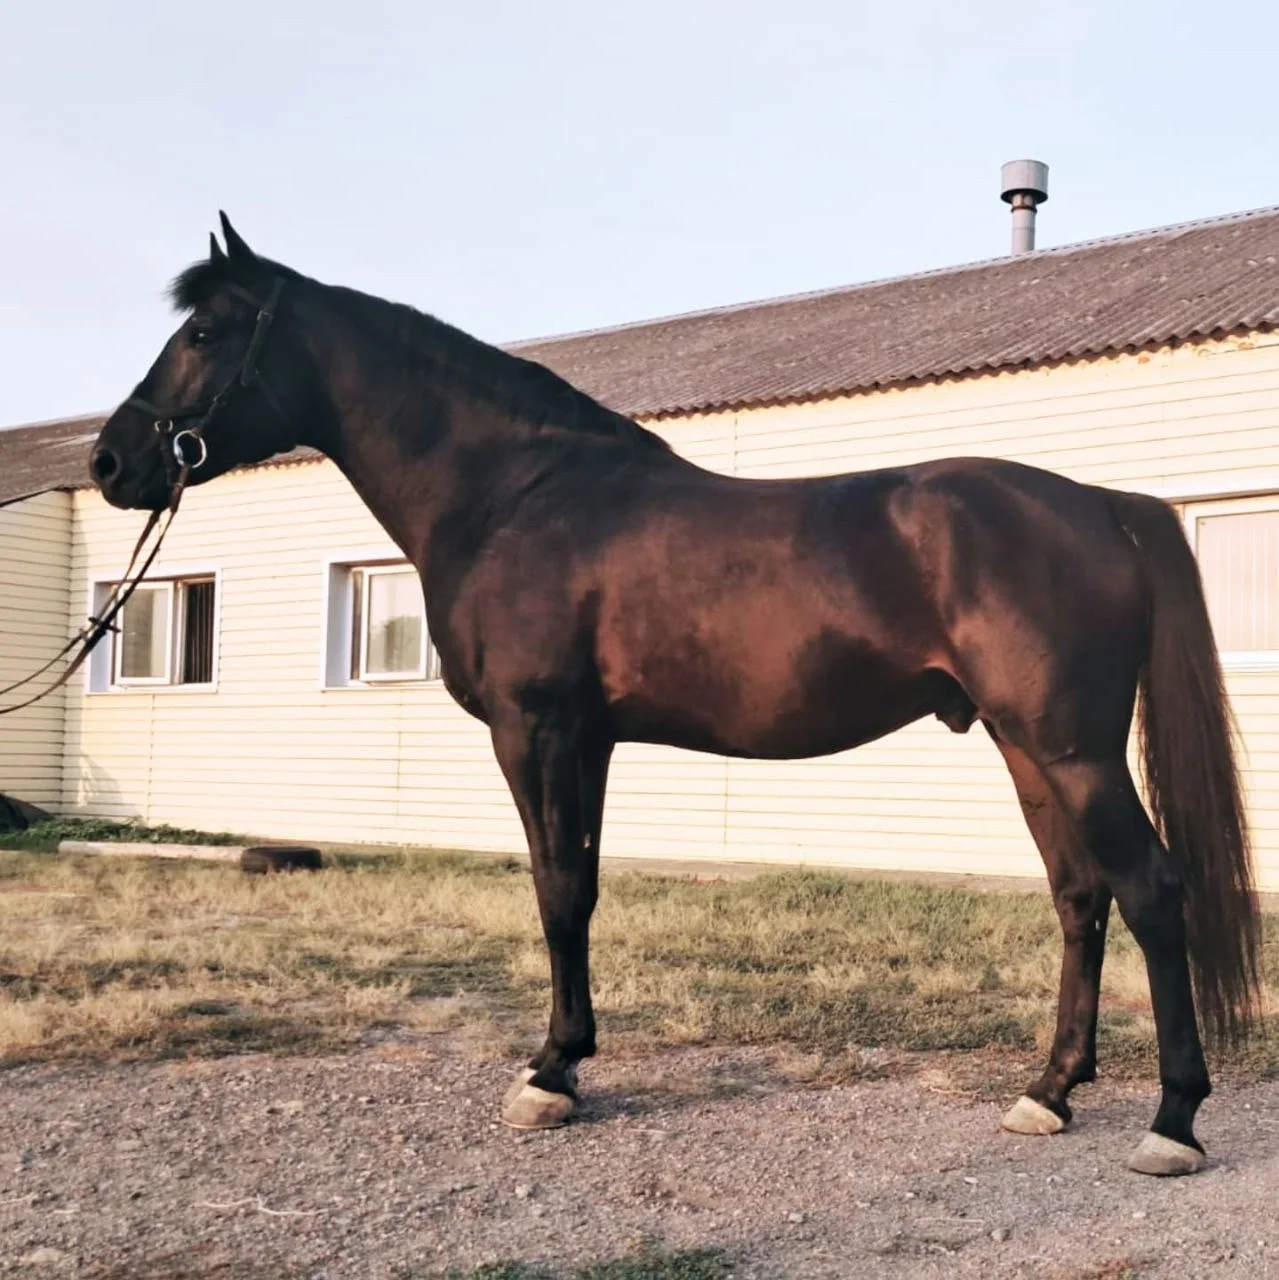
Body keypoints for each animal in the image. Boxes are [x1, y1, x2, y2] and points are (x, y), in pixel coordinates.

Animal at [89, 216, 1259, 1176]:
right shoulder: (592, 741)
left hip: (1071, 750)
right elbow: (581, 887)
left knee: (1151, 889)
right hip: (1026, 749)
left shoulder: (536, 730)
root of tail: (1097, 504)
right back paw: (1046, 1093)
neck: (516, 499)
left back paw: (1172, 1121)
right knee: (1079, 896)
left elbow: (556, 889)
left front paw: (548, 1074)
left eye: (205, 331)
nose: (110, 461)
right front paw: (566, 1058)